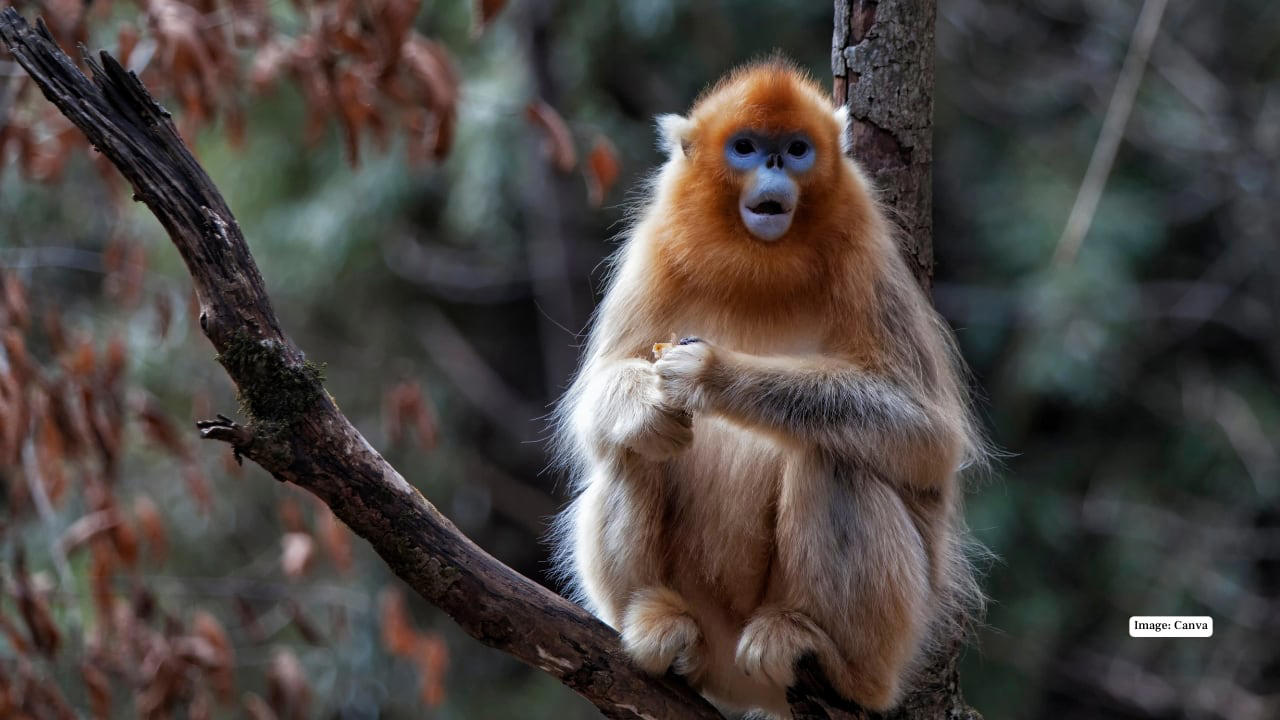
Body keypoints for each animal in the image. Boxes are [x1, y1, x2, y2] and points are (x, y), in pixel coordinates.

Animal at [551, 59, 986, 718]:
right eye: (746, 147)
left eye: (798, 149)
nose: (775, 164)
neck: (760, 265)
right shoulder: (654, 248)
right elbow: (594, 405)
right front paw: (650, 401)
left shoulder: (869, 255)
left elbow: (928, 439)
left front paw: (713, 374)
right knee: (634, 448)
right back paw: (659, 622)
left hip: (897, 632)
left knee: (836, 459)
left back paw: (824, 656)